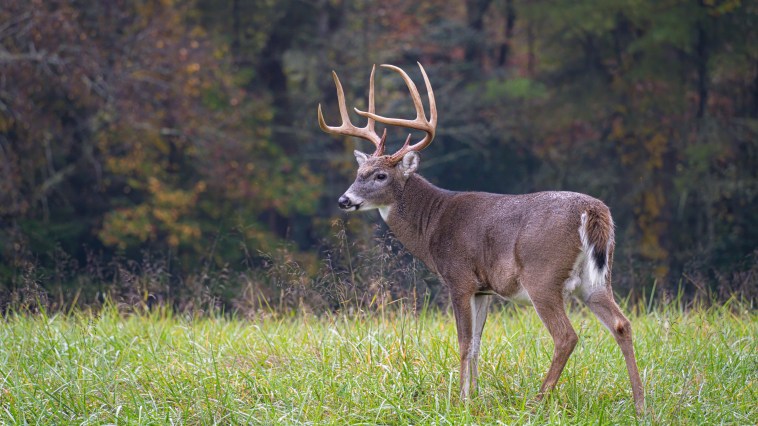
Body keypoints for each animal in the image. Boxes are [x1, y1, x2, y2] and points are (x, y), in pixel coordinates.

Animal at [317, 63, 645, 415]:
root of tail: (593, 210)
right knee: (621, 324)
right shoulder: (483, 288)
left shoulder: (458, 278)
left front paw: (460, 401)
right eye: (358, 173)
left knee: (566, 336)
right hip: (596, 278)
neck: (433, 223)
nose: (344, 200)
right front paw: (475, 396)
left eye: (380, 175)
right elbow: (476, 343)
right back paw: (640, 404)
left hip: (543, 275)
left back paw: (536, 402)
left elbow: (463, 342)